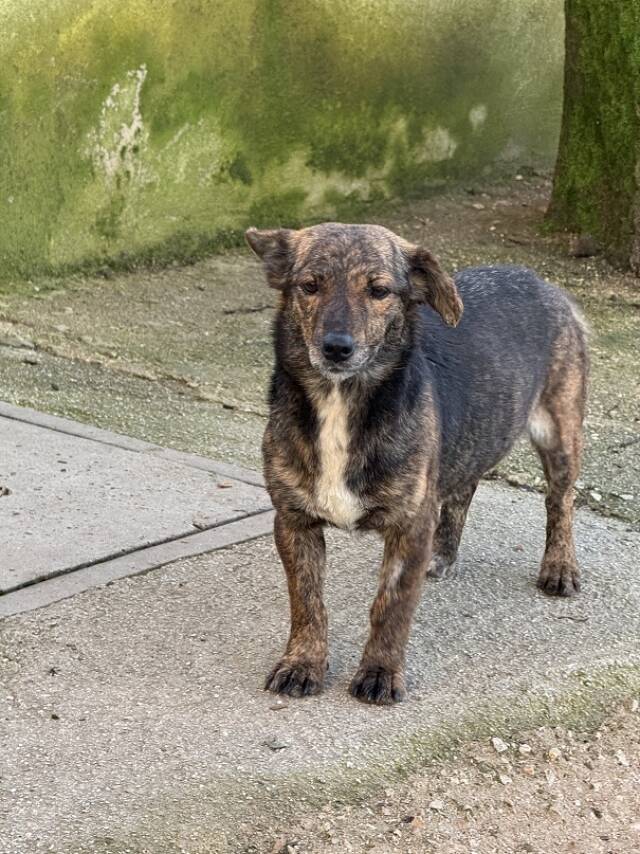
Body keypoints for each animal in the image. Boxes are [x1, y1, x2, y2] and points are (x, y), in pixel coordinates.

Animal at [246, 222, 588, 705]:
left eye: (379, 290)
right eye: (309, 286)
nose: (336, 348)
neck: (341, 400)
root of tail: (540, 281)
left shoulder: (409, 526)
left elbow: (390, 606)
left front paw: (380, 672)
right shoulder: (295, 522)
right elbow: (307, 602)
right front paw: (303, 663)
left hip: (559, 432)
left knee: (561, 501)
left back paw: (559, 567)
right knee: (464, 487)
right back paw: (443, 553)